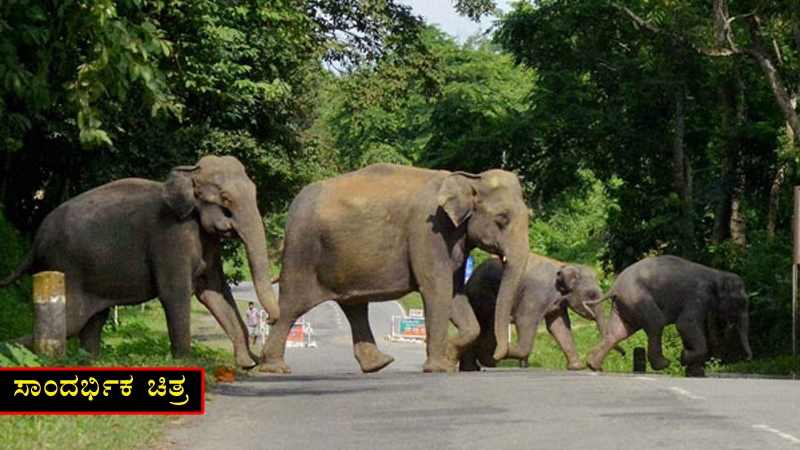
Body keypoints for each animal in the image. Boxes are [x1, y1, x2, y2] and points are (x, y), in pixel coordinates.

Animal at [0, 155, 279, 368]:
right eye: (225, 199)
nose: (269, 320)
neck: (188, 173)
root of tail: (35, 242)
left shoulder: (207, 242)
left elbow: (215, 292)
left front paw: (247, 364)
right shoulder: (171, 236)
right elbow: (175, 294)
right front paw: (185, 363)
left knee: (92, 321)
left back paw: (89, 362)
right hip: (63, 268)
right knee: (72, 320)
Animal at [260, 163, 530, 373]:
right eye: (502, 218)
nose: (496, 357)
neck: (469, 178)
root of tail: (293, 206)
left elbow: (454, 292)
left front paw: (450, 356)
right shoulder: (428, 232)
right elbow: (437, 289)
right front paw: (439, 367)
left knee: (354, 306)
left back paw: (378, 364)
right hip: (302, 251)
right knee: (293, 305)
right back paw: (275, 368)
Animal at [459, 254, 623, 371]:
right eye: (592, 295)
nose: (624, 354)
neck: (564, 264)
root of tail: (469, 280)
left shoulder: (557, 302)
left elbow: (559, 326)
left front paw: (577, 367)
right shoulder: (535, 293)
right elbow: (525, 320)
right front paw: (505, 353)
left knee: (480, 326)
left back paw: (473, 367)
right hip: (484, 294)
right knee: (489, 324)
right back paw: (487, 360)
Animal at [585, 255, 753, 376]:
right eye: (741, 302)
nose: (748, 359)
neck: (715, 272)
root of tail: (615, 285)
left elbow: (687, 330)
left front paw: (694, 372)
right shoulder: (698, 296)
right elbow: (686, 324)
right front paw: (683, 358)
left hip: (624, 305)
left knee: (618, 333)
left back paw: (593, 365)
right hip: (637, 298)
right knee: (656, 323)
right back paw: (664, 364)